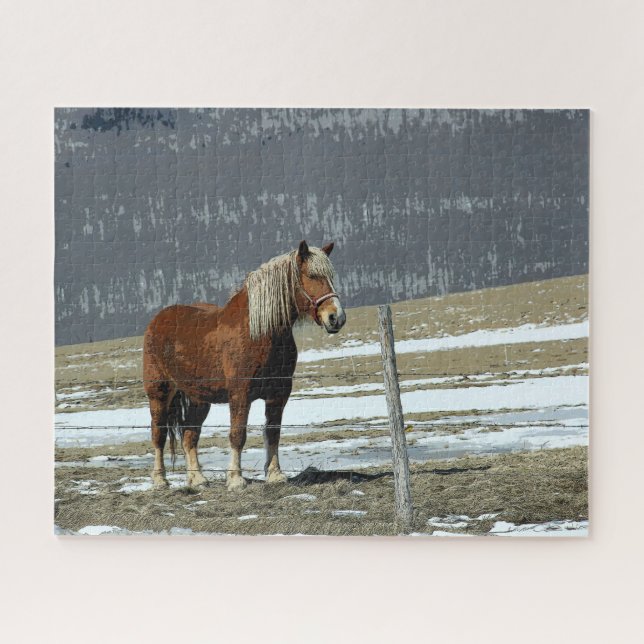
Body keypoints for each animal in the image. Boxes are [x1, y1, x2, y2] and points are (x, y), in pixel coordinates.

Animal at [143, 240, 346, 491]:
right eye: (311, 275)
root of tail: (157, 320)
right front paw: (236, 479)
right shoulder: (240, 394)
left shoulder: (278, 394)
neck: (259, 333)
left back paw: (198, 479)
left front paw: (275, 474)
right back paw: (160, 479)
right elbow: (238, 434)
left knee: (190, 435)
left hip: (199, 398)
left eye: (330, 277)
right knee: (158, 433)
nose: (336, 317)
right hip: (159, 393)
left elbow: (273, 433)